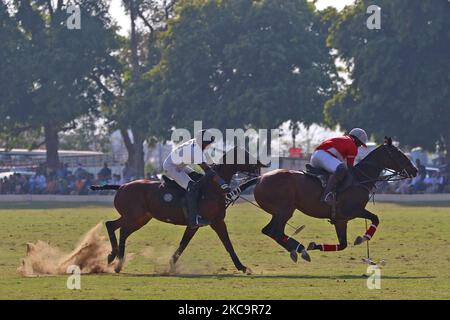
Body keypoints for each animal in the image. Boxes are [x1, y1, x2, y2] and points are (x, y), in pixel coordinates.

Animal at [89, 146, 262, 274]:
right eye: (246, 156)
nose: (259, 167)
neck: (212, 188)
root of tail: (121, 186)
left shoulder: (206, 223)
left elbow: (187, 244)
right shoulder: (210, 222)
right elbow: (225, 244)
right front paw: (243, 267)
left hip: (140, 218)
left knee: (121, 230)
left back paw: (117, 262)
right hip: (133, 216)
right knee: (112, 225)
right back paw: (113, 258)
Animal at [251, 137, 416, 262]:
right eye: (399, 154)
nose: (415, 170)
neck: (360, 178)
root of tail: (259, 178)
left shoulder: (341, 220)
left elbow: (342, 244)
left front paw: (314, 245)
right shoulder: (353, 210)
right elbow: (375, 218)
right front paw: (363, 238)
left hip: (278, 212)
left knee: (269, 231)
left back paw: (300, 250)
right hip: (284, 210)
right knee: (276, 232)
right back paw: (300, 250)